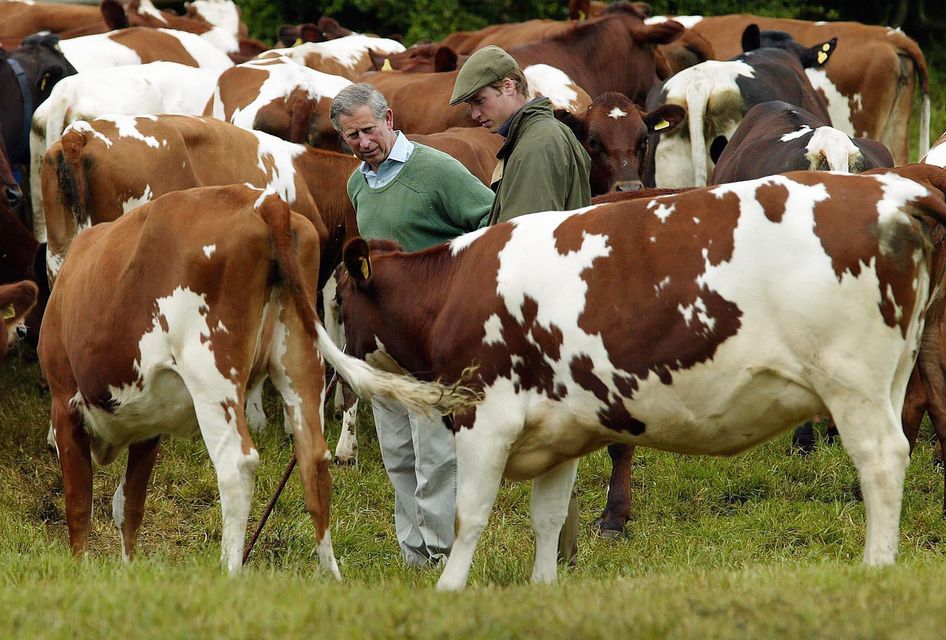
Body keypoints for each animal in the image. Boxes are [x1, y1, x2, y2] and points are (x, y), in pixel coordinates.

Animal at [37, 184, 472, 576]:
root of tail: (266, 204)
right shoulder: (148, 426)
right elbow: (129, 506)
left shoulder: (65, 408)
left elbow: (80, 506)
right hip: (299, 362)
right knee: (314, 463)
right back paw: (330, 576)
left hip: (213, 376)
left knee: (237, 463)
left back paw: (230, 572)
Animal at [336, 168, 944, 588]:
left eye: (339, 299)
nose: (339, 374)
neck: (455, 288)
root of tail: (892, 191)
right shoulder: (558, 429)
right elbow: (548, 519)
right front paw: (541, 588)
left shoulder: (484, 416)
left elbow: (469, 515)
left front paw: (448, 589)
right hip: (891, 377)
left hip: (852, 383)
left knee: (882, 460)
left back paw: (876, 566)